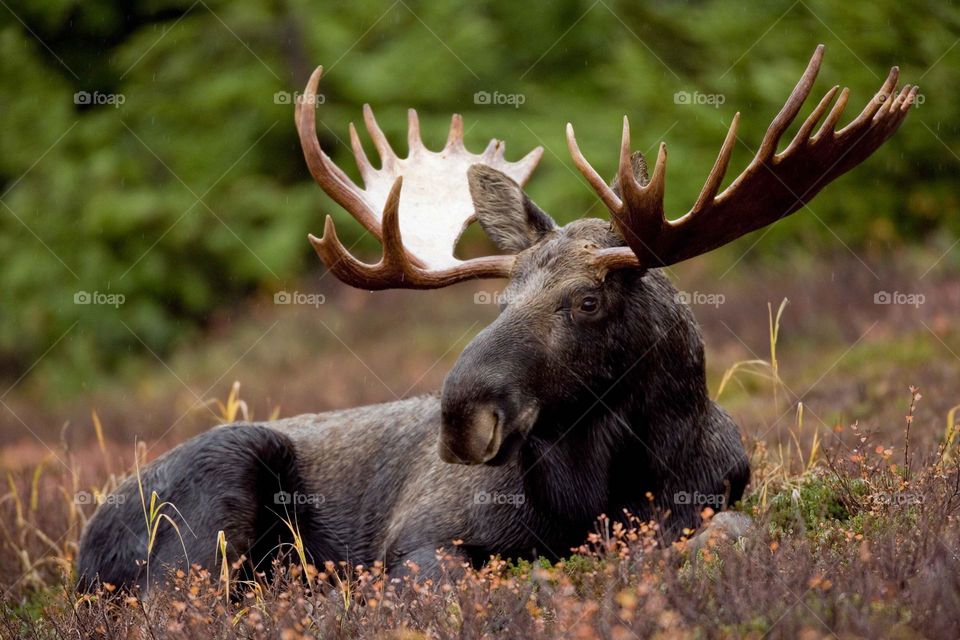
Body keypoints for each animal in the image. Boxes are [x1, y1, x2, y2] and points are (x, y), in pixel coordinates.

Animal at [77, 45, 915, 591]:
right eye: (502, 300)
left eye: (587, 299)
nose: (460, 416)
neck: (598, 490)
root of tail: (85, 544)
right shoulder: (421, 541)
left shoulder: (710, 503)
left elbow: (729, 537)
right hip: (208, 509)